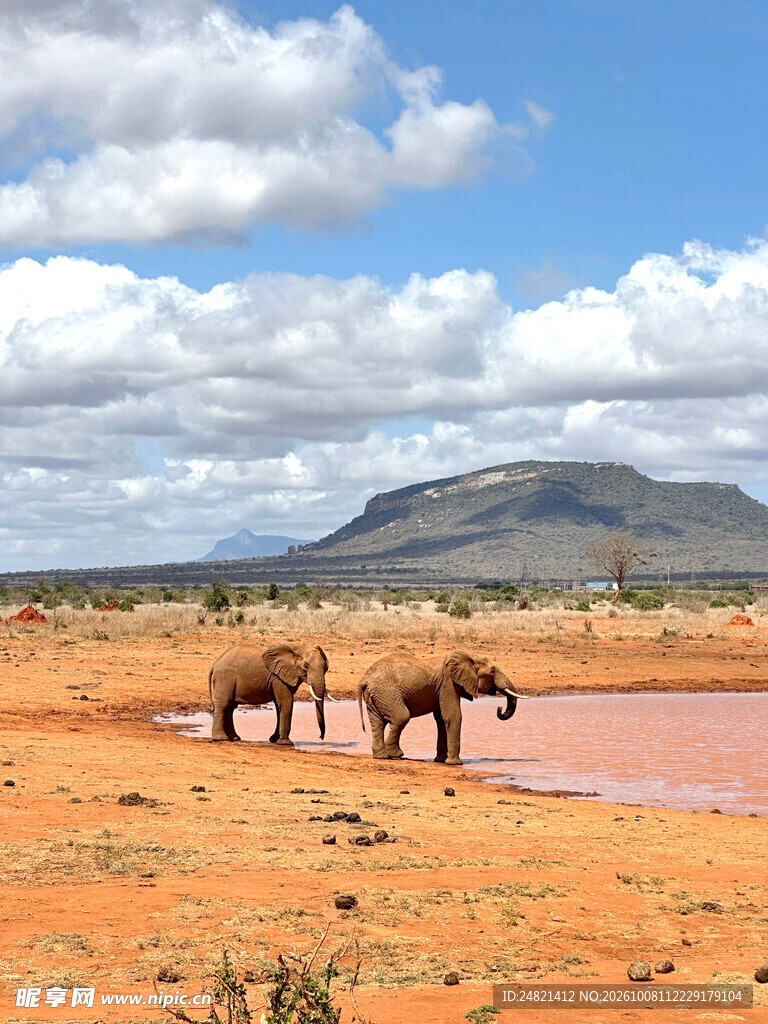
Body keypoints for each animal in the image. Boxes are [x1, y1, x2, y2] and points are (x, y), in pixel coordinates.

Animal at [208, 642, 338, 745]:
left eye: (325, 667)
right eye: (306, 666)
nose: (321, 737)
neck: (298, 648)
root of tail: (215, 663)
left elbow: (278, 704)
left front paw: (274, 740)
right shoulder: (278, 678)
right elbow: (286, 702)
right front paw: (285, 743)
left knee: (230, 707)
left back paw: (234, 738)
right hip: (225, 678)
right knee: (224, 704)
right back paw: (221, 739)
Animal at [357, 650, 528, 765]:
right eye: (492, 671)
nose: (499, 708)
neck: (468, 656)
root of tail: (364, 680)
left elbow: (441, 719)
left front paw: (440, 760)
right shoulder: (449, 683)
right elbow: (454, 715)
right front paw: (455, 763)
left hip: (377, 695)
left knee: (378, 723)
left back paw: (382, 756)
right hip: (387, 693)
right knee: (401, 717)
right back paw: (396, 754)